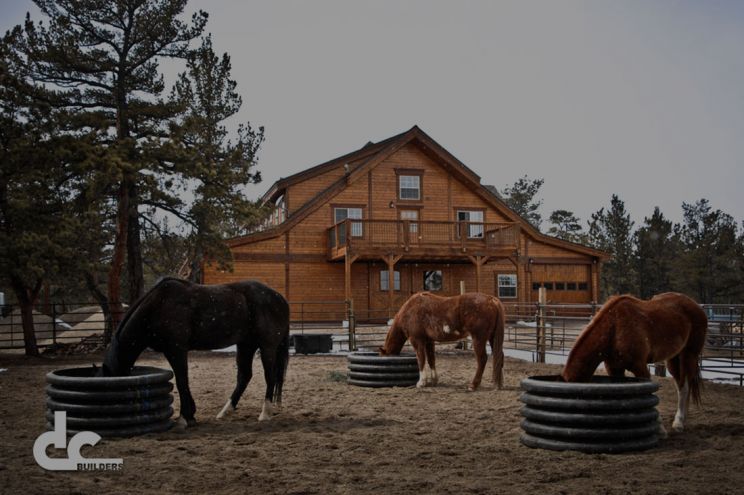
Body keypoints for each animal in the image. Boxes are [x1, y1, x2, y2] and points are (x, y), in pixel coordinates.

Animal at [103, 280, 290, 426]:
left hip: (267, 347)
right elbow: (182, 380)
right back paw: (225, 412)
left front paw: (185, 417)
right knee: (244, 376)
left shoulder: (176, 350)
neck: (158, 305)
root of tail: (280, 298)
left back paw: (265, 414)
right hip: (246, 345)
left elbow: (181, 380)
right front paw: (190, 414)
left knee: (269, 377)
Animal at [378, 292, 506, 394]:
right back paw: (498, 384)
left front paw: (421, 382)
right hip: (492, 338)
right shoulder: (429, 341)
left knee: (482, 359)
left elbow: (421, 360)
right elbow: (431, 360)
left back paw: (473, 385)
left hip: (478, 339)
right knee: (499, 356)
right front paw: (434, 380)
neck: (410, 311)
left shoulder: (417, 341)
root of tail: (491, 300)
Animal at [560, 292, 708, 436]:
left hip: (689, 355)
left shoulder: (640, 367)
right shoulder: (614, 369)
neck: (614, 328)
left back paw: (679, 423)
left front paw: (660, 429)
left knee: (685, 387)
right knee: (680, 385)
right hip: (673, 359)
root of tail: (696, 306)